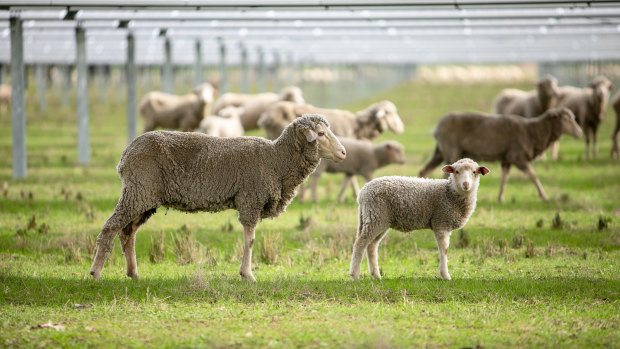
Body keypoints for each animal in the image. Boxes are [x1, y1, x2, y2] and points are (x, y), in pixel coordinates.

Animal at [89, 113, 346, 282]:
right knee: (110, 228)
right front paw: (247, 274)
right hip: (138, 191)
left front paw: (246, 273)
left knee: (127, 233)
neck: (276, 160)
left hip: (144, 196)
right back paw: (96, 273)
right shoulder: (250, 200)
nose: (343, 152)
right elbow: (250, 240)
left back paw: (133, 273)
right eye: (321, 133)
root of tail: (125, 155)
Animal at [348, 158, 490, 280]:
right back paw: (355, 275)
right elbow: (444, 249)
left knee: (371, 245)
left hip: (378, 218)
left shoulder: (443, 222)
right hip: (376, 216)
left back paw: (376, 275)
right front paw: (445, 275)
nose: (466, 184)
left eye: (474, 172)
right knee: (361, 243)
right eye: (456, 171)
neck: (450, 193)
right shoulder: (441, 221)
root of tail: (363, 192)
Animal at [418, 108, 584, 201]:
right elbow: (533, 175)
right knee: (446, 175)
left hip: (441, 151)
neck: (533, 132)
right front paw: (544, 196)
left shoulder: (507, 159)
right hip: (451, 150)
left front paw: (500, 197)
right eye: (565, 119)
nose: (579, 132)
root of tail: (437, 128)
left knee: (424, 170)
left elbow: (504, 178)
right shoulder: (517, 157)